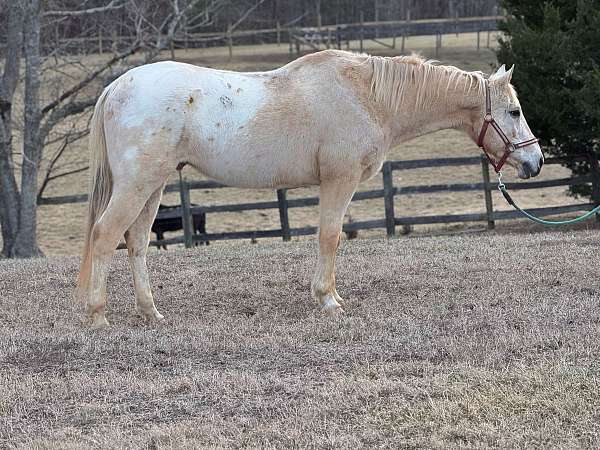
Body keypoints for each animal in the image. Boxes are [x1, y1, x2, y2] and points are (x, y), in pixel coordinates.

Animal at [75, 51, 544, 328]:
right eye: (514, 111)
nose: (535, 162)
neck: (366, 95)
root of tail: (116, 87)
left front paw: (328, 295)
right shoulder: (340, 180)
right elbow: (330, 237)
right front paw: (329, 300)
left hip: (152, 185)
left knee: (136, 243)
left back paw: (151, 312)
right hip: (137, 184)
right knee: (105, 235)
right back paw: (98, 316)